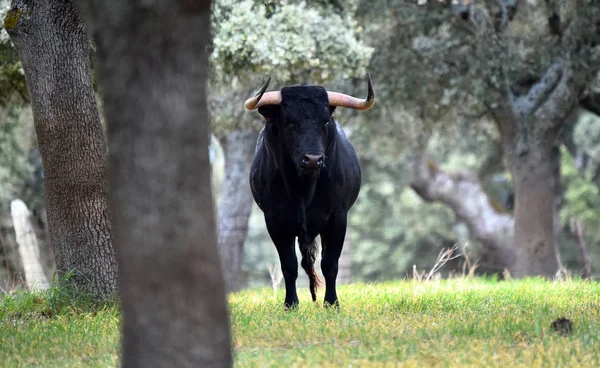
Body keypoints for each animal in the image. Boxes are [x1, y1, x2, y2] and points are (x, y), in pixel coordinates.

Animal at [245, 75, 376, 308]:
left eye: (325, 122)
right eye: (289, 122)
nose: (313, 159)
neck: (303, 189)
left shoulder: (338, 217)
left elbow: (330, 263)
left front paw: (332, 303)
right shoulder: (274, 220)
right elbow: (289, 265)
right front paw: (291, 304)